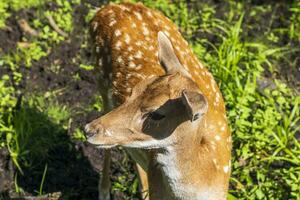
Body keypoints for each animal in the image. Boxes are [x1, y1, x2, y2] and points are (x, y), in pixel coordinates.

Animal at [84, 1, 232, 200]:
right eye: (133, 91)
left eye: (157, 114)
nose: (89, 130)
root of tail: (108, 8)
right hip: (100, 81)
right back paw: (104, 190)